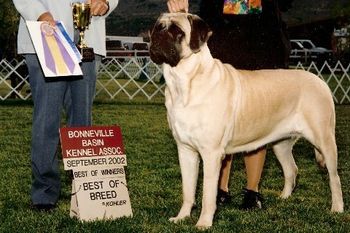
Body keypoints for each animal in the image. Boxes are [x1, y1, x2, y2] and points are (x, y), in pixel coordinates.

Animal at [149, 12, 344, 229]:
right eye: (157, 27)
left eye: (177, 31)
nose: (156, 36)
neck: (185, 82)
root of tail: (321, 82)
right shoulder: (185, 151)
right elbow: (188, 190)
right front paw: (182, 217)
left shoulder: (211, 153)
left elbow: (208, 193)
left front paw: (204, 222)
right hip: (281, 144)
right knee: (291, 170)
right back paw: (283, 198)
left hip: (324, 140)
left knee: (334, 177)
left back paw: (337, 208)